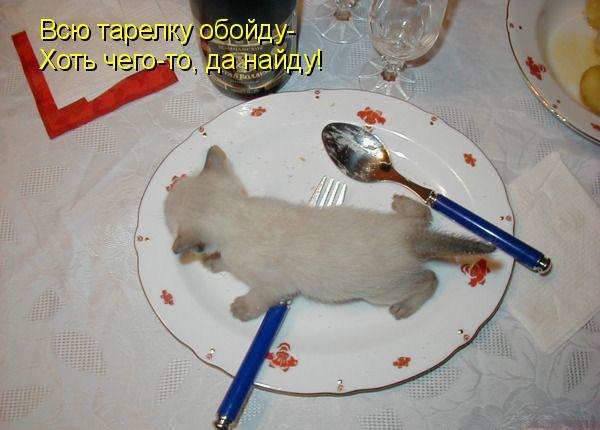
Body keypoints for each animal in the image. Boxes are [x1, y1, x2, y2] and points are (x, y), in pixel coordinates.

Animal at [164, 145, 496, 321]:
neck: (237, 216)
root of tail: (410, 240)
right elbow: (220, 259)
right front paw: (213, 262)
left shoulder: (275, 286)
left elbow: (260, 298)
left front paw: (242, 308)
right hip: (405, 226)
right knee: (424, 215)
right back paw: (403, 202)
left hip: (381, 292)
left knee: (430, 278)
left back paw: (405, 307)